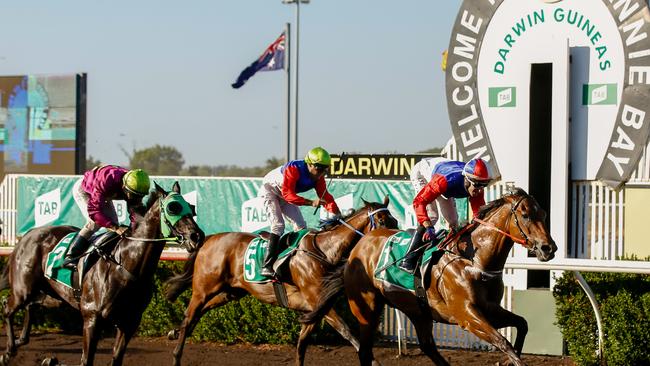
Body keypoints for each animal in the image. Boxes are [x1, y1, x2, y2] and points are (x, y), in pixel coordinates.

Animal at [0, 182, 204, 364]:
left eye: (191, 207)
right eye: (173, 208)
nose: (197, 236)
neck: (126, 265)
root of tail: (28, 235)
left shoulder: (129, 323)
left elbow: (116, 359)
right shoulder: (92, 318)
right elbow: (86, 360)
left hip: (52, 296)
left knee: (31, 305)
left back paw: (21, 340)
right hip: (23, 290)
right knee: (8, 308)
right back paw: (8, 351)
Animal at [162, 197, 394, 366]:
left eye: (394, 222)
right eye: (382, 221)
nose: (390, 239)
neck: (324, 252)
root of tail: (208, 238)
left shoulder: (313, 309)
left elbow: (302, 344)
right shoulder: (320, 304)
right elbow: (347, 332)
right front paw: (373, 362)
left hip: (230, 292)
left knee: (198, 313)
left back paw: (176, 331)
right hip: (203, 289)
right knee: (191, 315)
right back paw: (176, 354)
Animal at [306, 189, 556, 366]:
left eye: (544, 214)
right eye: (525, 215)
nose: (548, 248)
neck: (474, 260)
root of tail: (359, 246)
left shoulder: (490, 308)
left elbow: (522, 325)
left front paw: (506, 360)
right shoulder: (466, 315)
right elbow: (503, 342)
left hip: (418, 310)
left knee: (427, 346)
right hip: (366, 308)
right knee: (365, 351)